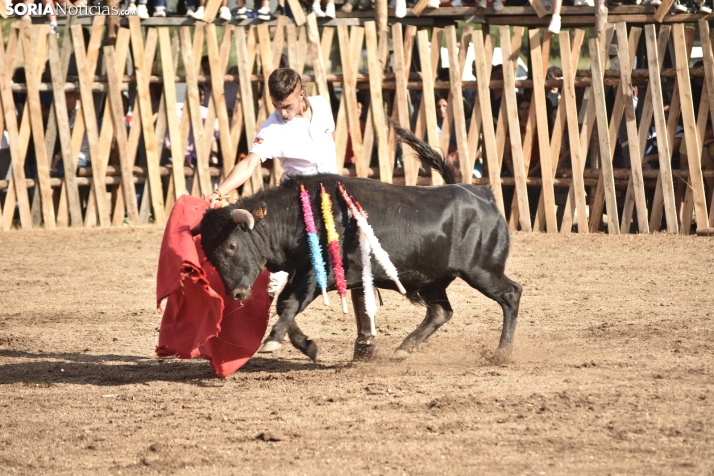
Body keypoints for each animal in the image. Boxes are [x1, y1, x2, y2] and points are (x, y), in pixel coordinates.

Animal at [197, 128, 520, 362]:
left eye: (231, 246)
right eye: (210, 256)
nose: (236, 293)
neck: (296, 216)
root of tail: (484, 195)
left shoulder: (319, 273)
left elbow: (288, 303)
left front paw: (274, 341)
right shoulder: (304, 273)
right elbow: (283, 303)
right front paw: (305, 345)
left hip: (482, 271)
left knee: (511, 294)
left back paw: (503, 352)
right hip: (433, 279)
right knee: (441, 312)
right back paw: (402, 349)